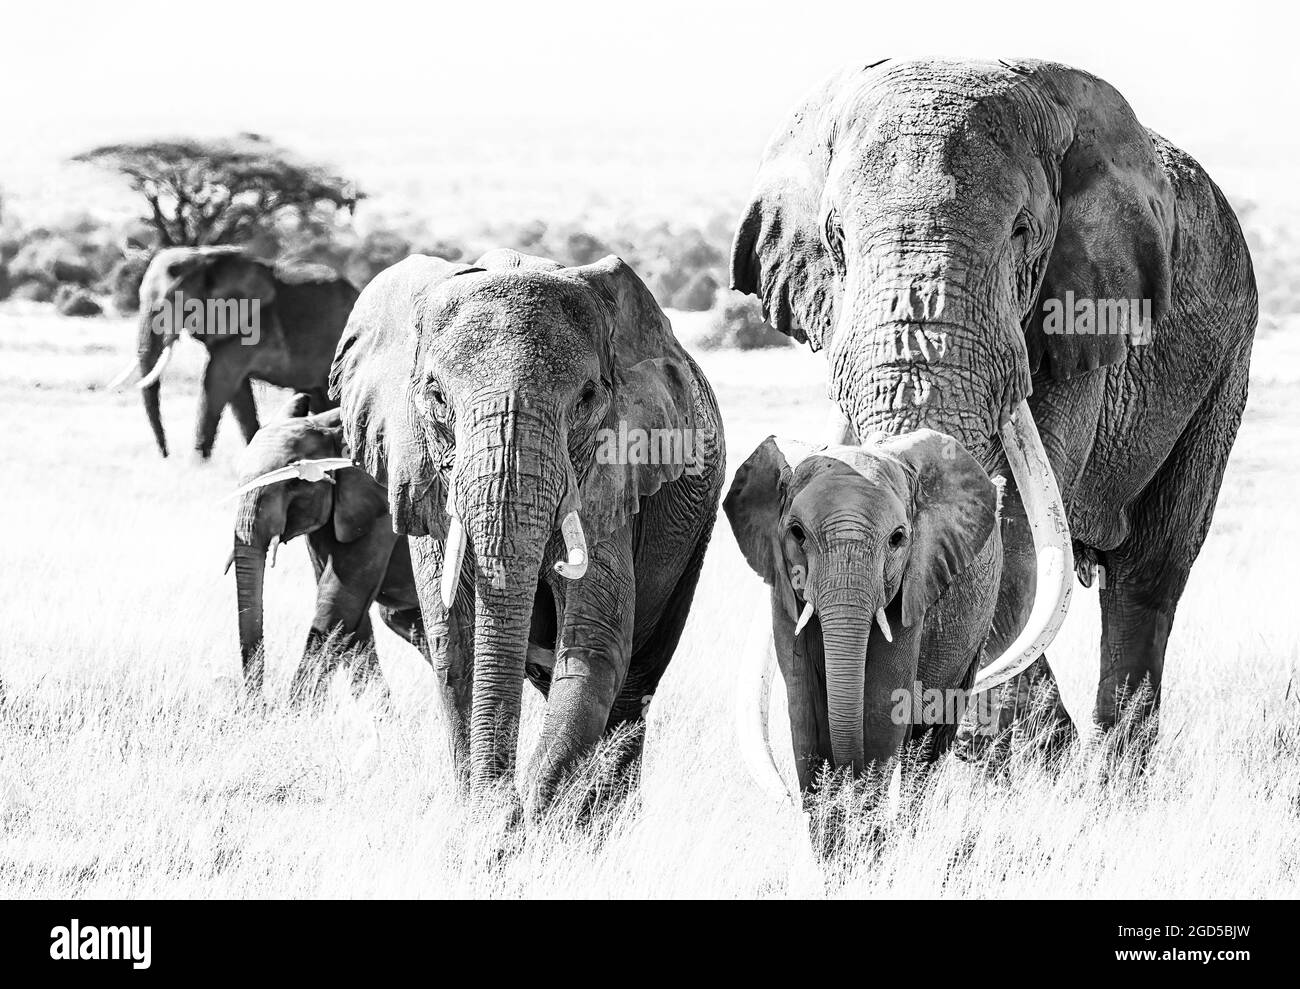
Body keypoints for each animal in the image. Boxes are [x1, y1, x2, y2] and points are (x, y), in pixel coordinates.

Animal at [114, 250, 358, 460]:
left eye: (172, 300)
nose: (166, 456)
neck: (203, 258)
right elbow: (237, 391)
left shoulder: (253, 328)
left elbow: (217, 381)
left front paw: (197, 464)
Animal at [330, 245, 728, 810]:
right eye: (436, 397)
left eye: (587, 398)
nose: (506, 805)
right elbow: (454, 646)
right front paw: (488, 815)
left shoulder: (613, 474)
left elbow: (594, 644)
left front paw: (528, 813)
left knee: (635, 684)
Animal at [728, 428, 998, 800]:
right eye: (797, 533)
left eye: (897, 538)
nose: (847, 778)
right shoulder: (782, 591)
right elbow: (805, 710)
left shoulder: (912, 584)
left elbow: (883, 707)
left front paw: (863, 809)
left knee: (931, 744)